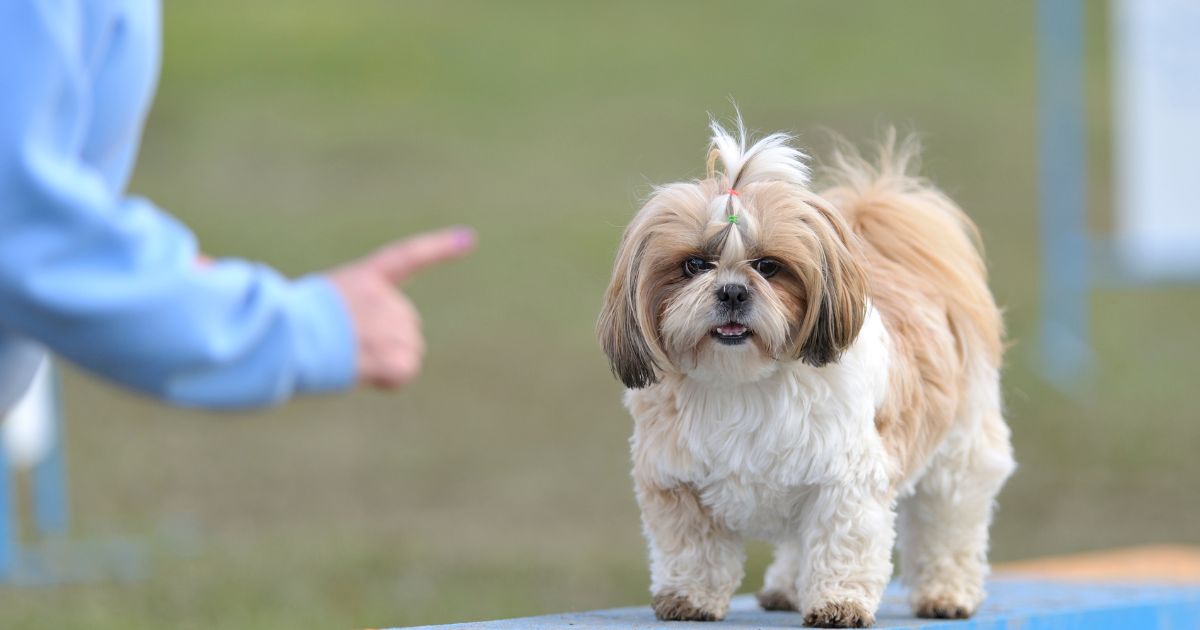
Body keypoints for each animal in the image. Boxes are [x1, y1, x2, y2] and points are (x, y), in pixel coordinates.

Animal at [597, 116, 1012, 624]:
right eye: (694, 264)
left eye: (768, 267)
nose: (732, 290)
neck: (742, 381)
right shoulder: (676, 481)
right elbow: (694, 549)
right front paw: (689, 597)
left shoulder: (845, 480)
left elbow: (842, 543)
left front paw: (839, 603)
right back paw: (786, 588)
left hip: (960, 452)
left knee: (949, 524)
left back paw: (946, 592)